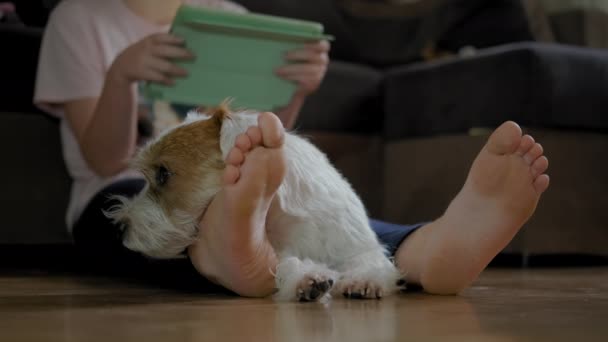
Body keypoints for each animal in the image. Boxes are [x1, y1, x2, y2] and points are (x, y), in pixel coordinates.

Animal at [108, 105, 404, 302]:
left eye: (163, 173)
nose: (120, 227)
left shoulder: (354, 243)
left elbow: (370, 261)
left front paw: (364, 279)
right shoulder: (282, 253)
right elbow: (287, 263)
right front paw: (308, 278)